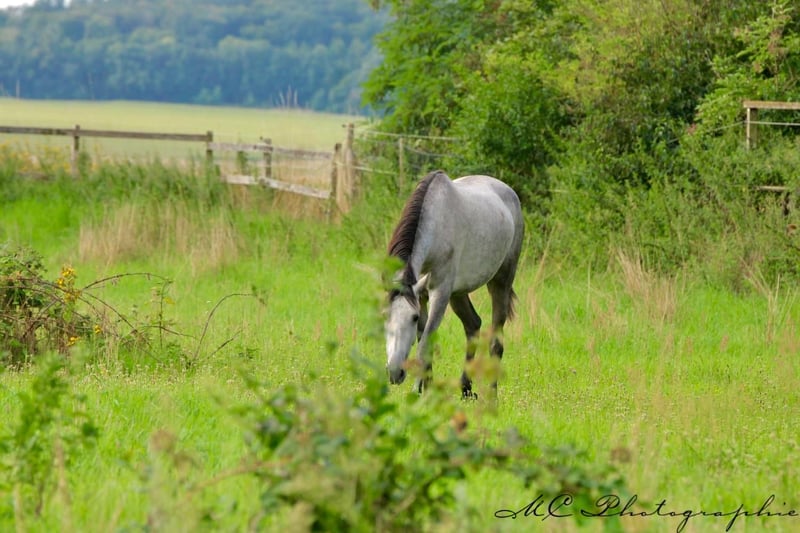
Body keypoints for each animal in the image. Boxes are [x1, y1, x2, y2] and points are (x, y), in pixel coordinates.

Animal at [384, 170, 524, 398]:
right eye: (384, 316)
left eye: (413, 318)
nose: (395, 372)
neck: (436, 223)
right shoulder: (424, 292)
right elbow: (426, 340)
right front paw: (427, 389)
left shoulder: (440, 292)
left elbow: (424, 344)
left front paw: (417, 392)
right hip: (458, 293)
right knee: (473, 325)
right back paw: (465, 388)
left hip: (500, 281)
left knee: (496, 341)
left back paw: (491, 395)